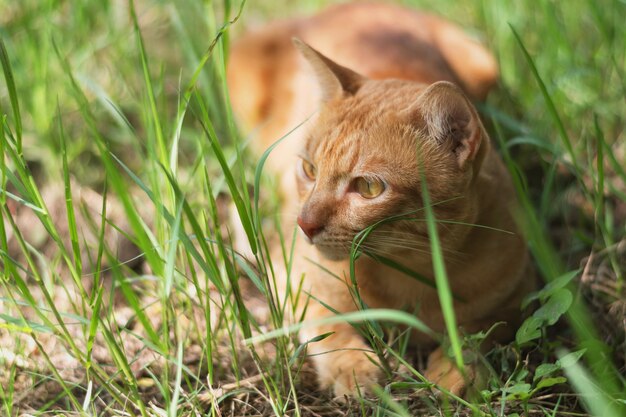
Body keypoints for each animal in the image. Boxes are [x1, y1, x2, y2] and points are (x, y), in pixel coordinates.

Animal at [227, 2, 528, 396]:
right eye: (309, 169)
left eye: (368, 188)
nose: (305, 225)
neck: (415, 273)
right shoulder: (293, 275)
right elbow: (327, 325)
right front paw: (353, 368)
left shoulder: (516, 297)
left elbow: (477, 331)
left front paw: (457, 369)